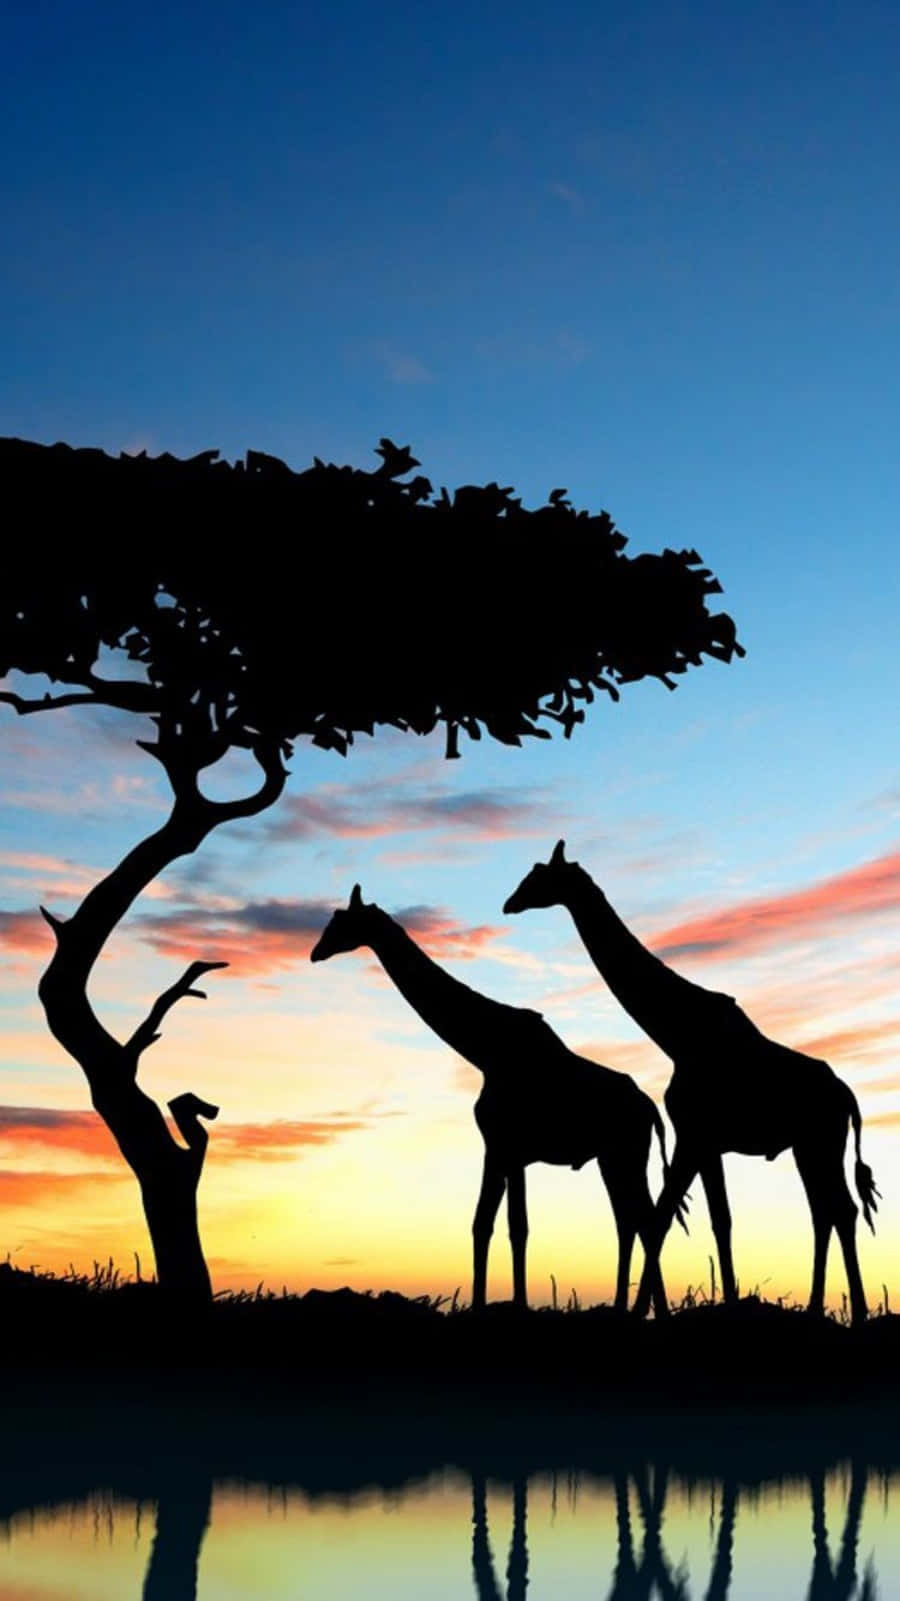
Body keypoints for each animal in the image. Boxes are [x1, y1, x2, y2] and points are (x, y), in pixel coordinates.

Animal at [310, 885, 682, 1314]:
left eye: (342, 921)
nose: (316, 952)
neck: (486, 1049)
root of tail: (650, 1108)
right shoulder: (503, 1149)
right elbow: (491, 1223)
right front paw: (488, 1303)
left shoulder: (507, 1146)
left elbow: (509, 1225)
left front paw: (507, 1304)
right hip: (613, 1157)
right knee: (631, 1220)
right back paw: (630, 1307)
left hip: (626, 1154)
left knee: (642, 1220)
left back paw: (647, 1309)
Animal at [503, 842, 879, 1325]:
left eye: (539, 876)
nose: (509, 903)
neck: (678, 1033)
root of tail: (848, 1097)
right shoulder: (706, 1141)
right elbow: (718, 1220)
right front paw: (727, 1304)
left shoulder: (694, 1135)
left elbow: (662, 1217)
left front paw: (644, 1312)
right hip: (807, 1145)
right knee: (826, 1211)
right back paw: (817, 1309)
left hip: (821, 1140)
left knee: (841, 1209)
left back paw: (860, 1312)